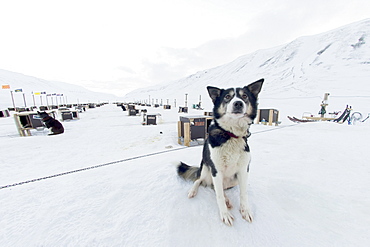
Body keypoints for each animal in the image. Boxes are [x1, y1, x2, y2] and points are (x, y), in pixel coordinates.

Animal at [176, 78, 264, 226]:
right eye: (227, 97)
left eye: (245, 96)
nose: (238, 103)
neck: (231, 135)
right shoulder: (216, 170)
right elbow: (219, 195)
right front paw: (225, 214)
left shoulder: (243, 170)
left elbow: (243, 193)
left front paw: (245, 211)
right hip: (206, 169)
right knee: (200, 181)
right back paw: (193, 191)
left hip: (233, 179)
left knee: (217, 188)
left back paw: (228, 199)